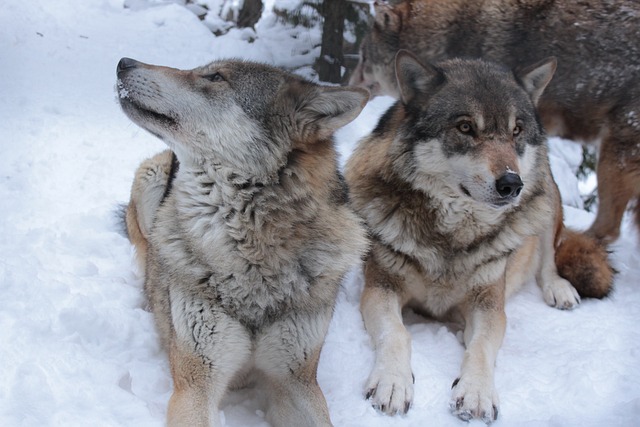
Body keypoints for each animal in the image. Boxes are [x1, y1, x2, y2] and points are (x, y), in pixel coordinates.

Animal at [116, 57, 370, 427]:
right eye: (206, 70)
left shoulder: (297, 381)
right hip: (152, 177)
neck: (251, 257)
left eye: (214, 77)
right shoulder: (196, 382)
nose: (124, 62)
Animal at [344, 51, 616, 424]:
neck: (453, 232)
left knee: (549, 258)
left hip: (545, 198)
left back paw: (559, 290)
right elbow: (397, 333)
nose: (511, 184)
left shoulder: (489, 305)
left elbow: (481, 348)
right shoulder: (380, 288)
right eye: (465, 127)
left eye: (516, 130)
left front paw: (475, 393)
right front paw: (393, 384)